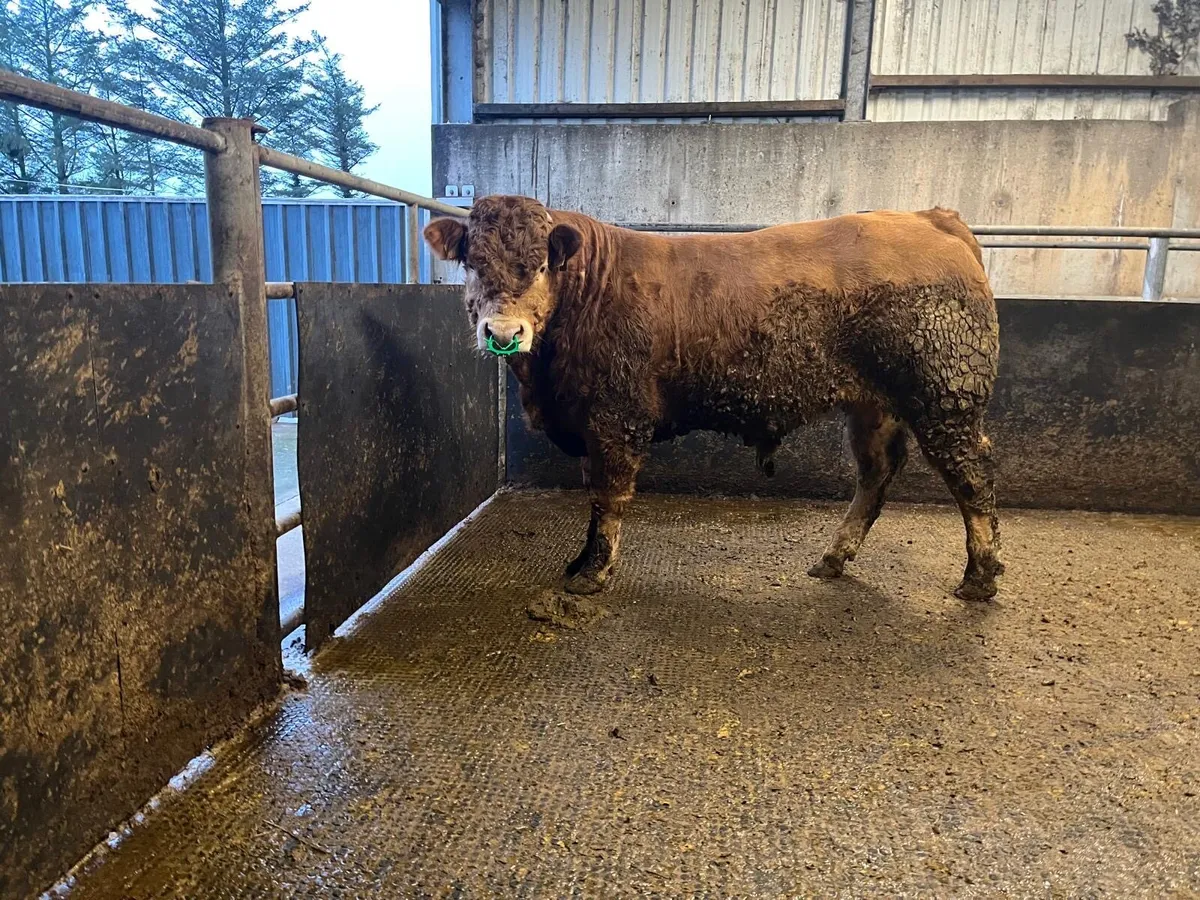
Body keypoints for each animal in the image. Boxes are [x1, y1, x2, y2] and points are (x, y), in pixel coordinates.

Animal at [425, 196, 1003, 601]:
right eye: (472, 262)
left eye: (541, 265)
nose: (504, 333)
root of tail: (932, 218)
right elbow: (592, 498)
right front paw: (580, 561)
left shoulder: (616, 418)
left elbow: (607, 498)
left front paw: (593, 574)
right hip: (873, 406)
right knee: (877, 473)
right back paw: (834, 558)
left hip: (945, 396)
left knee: (972, 478)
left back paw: (980, 576)